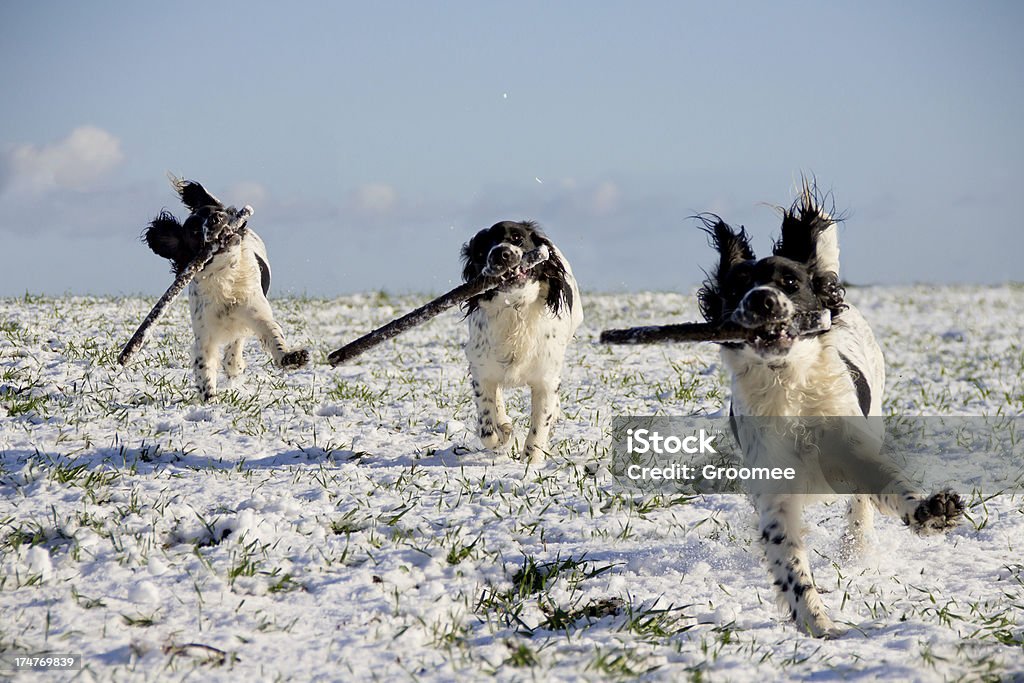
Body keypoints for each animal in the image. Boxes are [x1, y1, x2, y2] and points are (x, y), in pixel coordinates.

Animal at [143, 179, 307, 401]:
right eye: (194, 231)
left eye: (216, 212)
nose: (216, 218)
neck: (224, 277)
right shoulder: (204, 333)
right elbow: (204, 364)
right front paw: (209, 397)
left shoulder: (256, 311)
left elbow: (272, 334)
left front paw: (291, 357)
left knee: (237, 342)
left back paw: (234, 364)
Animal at [464, 222, 585, 462]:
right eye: (481, 251)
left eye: (517, 237)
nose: (501, 253)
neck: (515, 309)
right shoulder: (481, 369)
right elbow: (487, 426)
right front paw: (502, 433)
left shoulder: (545, 379)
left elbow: (540, 425)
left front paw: (530, 462)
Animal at [700, 184, 962, 638]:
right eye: (736, 289)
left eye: (790, 282)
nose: (762, 301)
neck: (789, 387)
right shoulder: (774, 492)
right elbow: (790, 562)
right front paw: (817, 623)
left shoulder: (853, 450)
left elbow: (889, 488)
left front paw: (931, 512)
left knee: (860, 506)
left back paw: (856, 548)